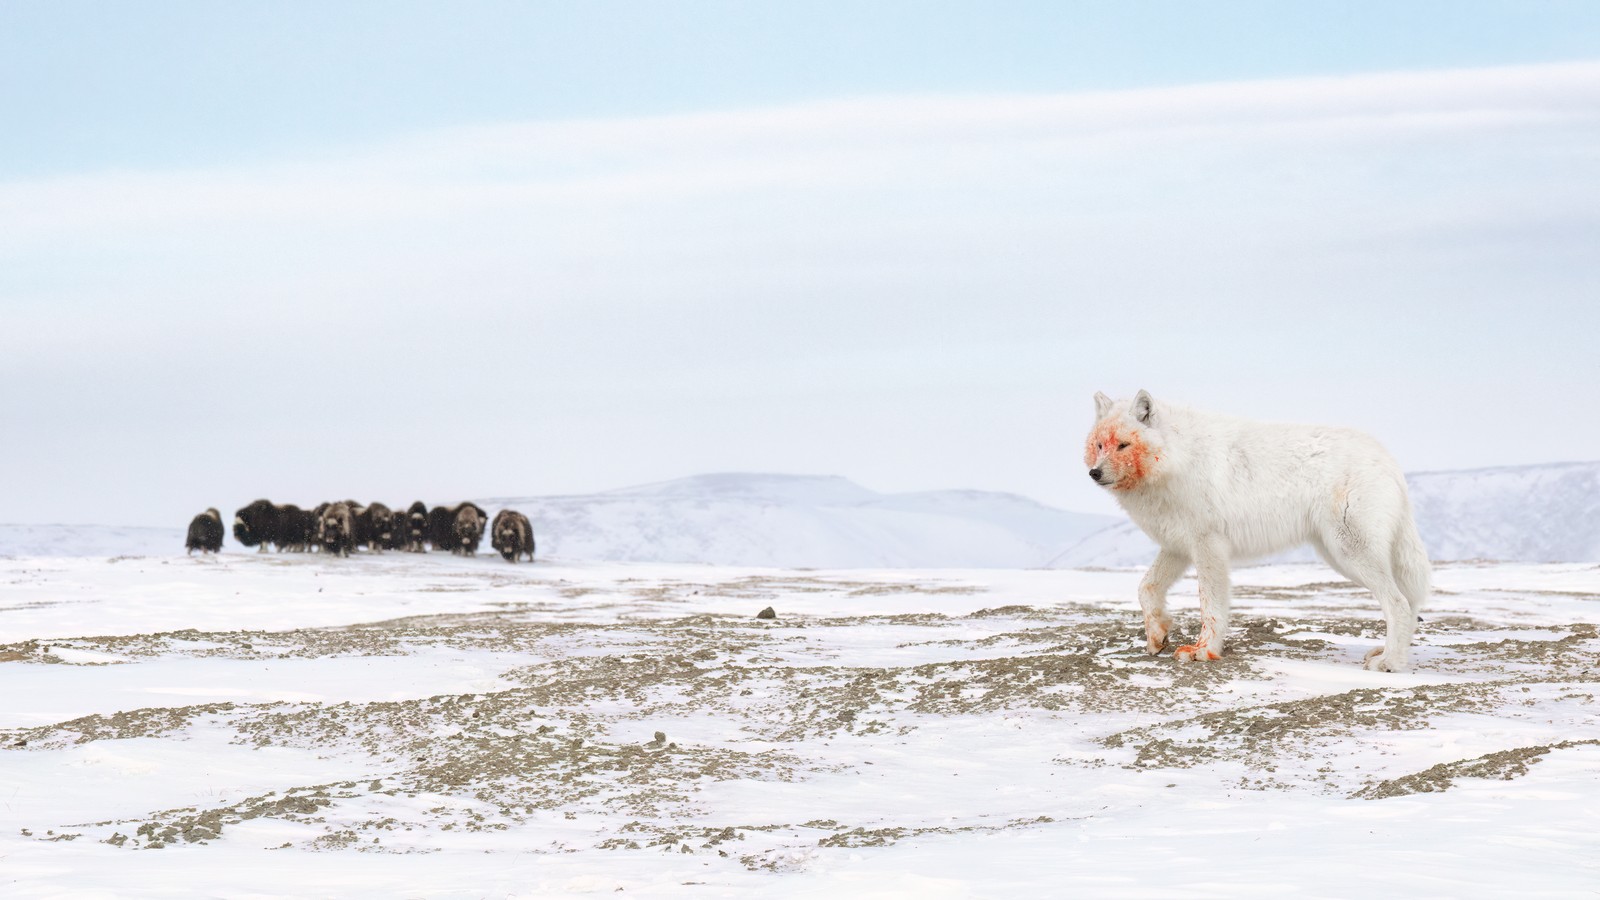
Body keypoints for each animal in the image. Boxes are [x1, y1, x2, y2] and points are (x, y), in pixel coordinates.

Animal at [1085, 390, 1430, 672]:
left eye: (1123, 445)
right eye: (1100, 445)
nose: (1094, 473)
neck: (1178, 459)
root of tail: (1387, 458)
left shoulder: (1208, 546)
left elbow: (1211, 606)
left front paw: (1203, 651)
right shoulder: (1178, 546)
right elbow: (1146, 588)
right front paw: (1157, 637)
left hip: (1350, 553)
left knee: (1398, 603)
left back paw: (1389, 663)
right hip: (1339, 556)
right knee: (1408, 603)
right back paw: (1389, 654)